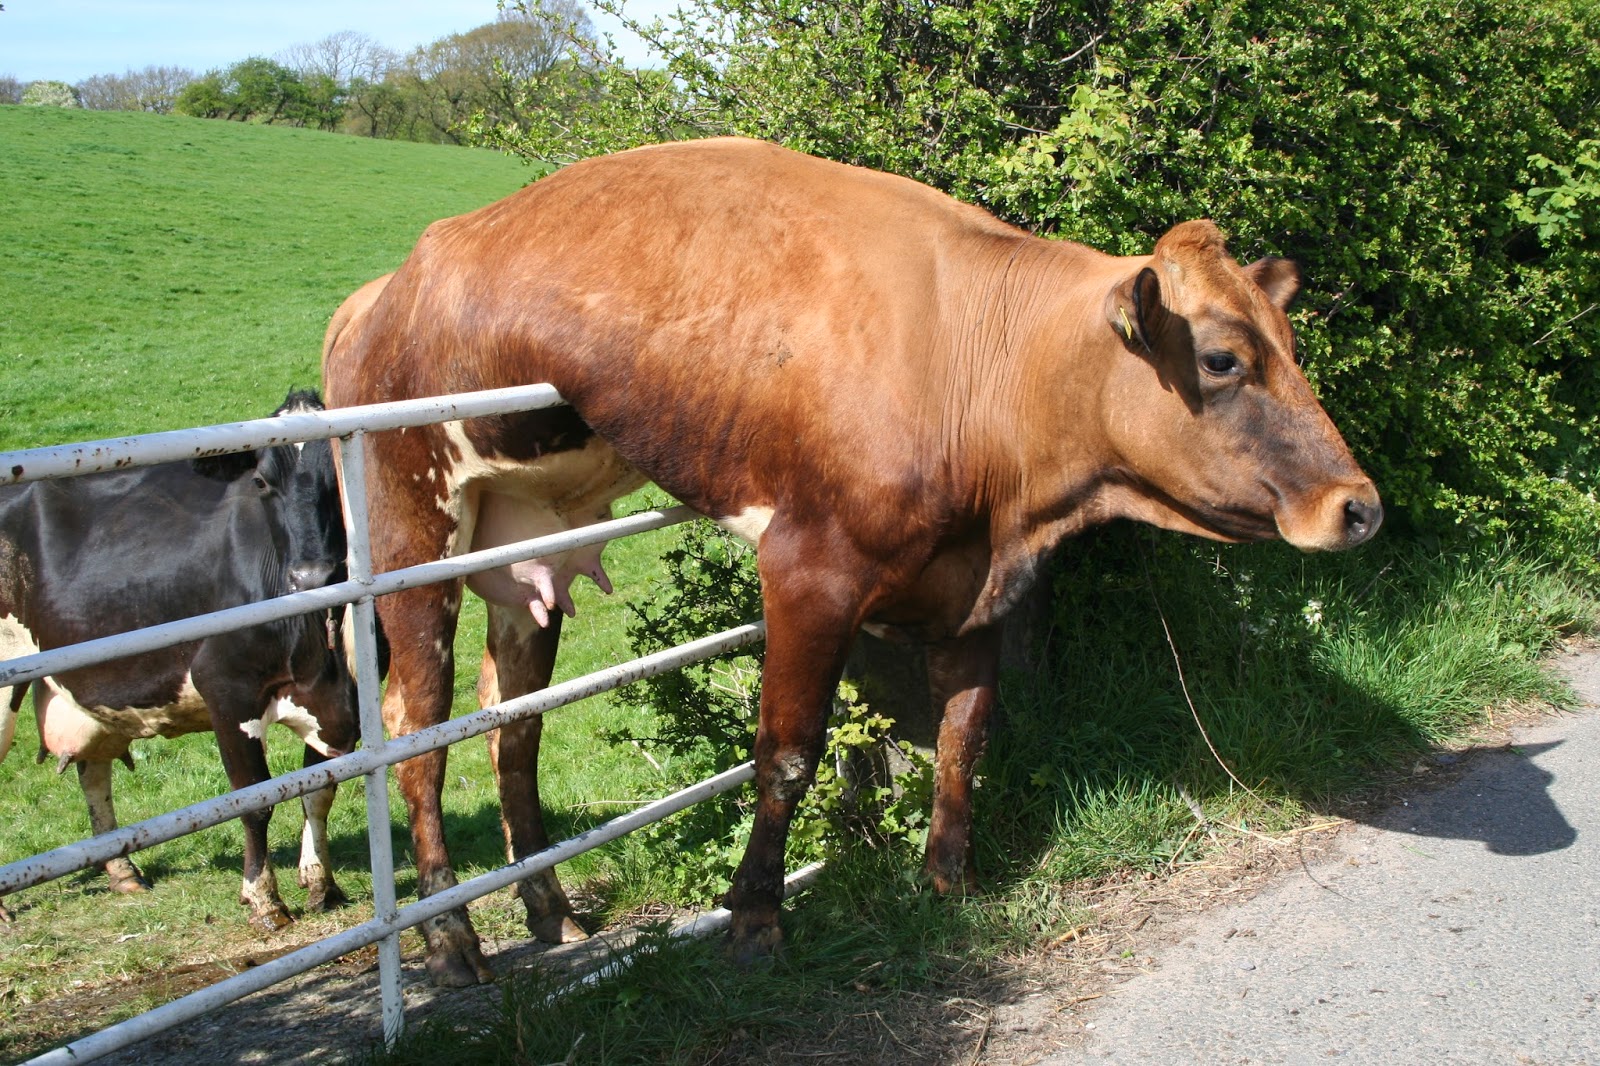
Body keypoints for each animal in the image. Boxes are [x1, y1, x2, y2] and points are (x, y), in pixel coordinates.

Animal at [0, 391, 359, 930]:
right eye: (261, 482)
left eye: (337, 474)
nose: (311, 576)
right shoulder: (227, 692)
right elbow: (255, 801)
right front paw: (263, 900)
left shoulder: (340, 700)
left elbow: (319, 790)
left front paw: (322, 883)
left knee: (93, 772)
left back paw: (123, 872)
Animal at [322, 137, 1381, 986]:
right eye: (1223, 360)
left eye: (1288, 342)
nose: (1359, 506)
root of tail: (380, 293)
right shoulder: (809, 571)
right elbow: (787, 754)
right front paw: (756, 919)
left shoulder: (973, 591)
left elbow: (963, 736)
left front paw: (946, 880)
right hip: (411, 531)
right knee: (415, 729)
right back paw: (452, 943)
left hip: (522, 549)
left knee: (513, 726)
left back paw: (551, 911)